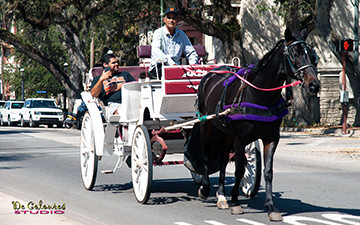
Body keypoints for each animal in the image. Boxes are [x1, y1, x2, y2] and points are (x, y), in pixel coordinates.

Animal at [186, 28, 320, 221]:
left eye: (312, 54)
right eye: (294, 55)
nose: (314, 85)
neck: (261, 93)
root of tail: (211, 73)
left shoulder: (271, 138)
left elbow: (268, 172)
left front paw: (271, 206)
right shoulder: (241, 138)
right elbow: (240, 170)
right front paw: (235, 202)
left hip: (226, 132)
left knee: (223, 159)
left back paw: (221, 196)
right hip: (206, 124)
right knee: (204, 152)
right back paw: (205, 188)